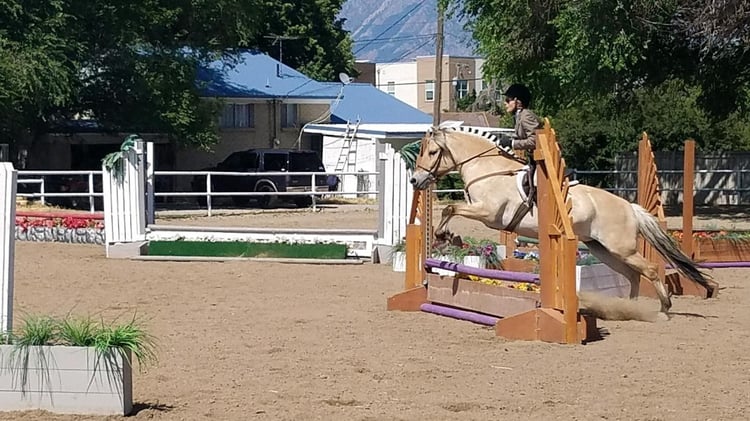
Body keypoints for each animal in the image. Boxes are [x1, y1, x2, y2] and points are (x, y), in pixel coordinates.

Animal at [412, 123, 716, 314]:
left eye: (432, 152)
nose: (415, 180)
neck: (487, 168)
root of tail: (630, 206)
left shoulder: (488, 213)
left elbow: (451, 209)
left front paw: (447, 236)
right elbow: (452, 210)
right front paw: (447, 237)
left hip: (621, 248)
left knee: (649, 270)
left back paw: (664, 308)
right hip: (601, 248)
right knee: (633, 274)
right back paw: (631, 307)